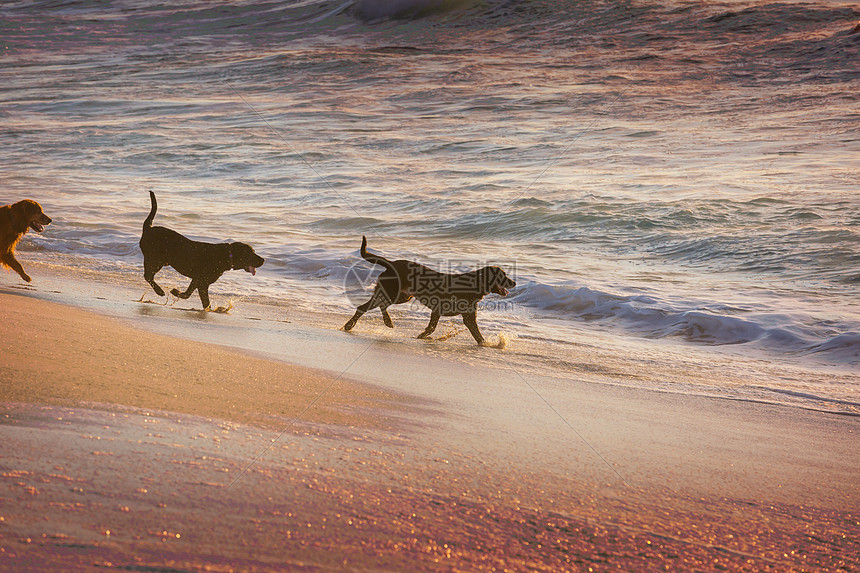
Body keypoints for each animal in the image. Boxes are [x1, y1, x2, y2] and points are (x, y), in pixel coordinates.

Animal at [344, 233, 516, 342]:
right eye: (503, 276)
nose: (514, 282)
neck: (474, 284)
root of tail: (391, 263)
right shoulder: (444, 311)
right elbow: (433, 328)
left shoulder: (463, 315)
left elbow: (476, 335)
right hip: (392, 293)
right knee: (369, 306)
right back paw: (363, 324)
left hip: (402, 296)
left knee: (373, 306)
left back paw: (378, 323)